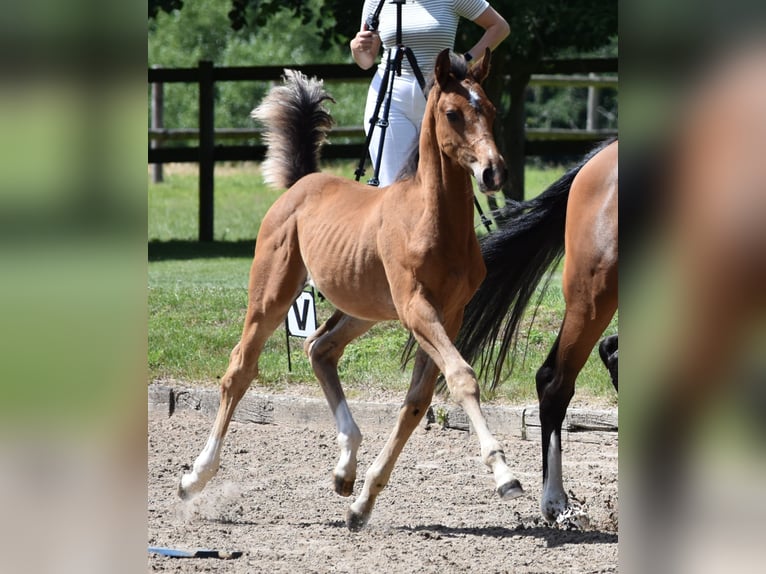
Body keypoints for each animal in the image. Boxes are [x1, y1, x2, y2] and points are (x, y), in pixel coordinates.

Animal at [177, 49, 519, 532]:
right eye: (453, 113)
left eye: (489, 109)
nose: (494, 172)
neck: (431, 221)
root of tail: (301, 184)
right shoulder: (417, 308)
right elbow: (461, 377)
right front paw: (505, 475)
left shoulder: (448, 315)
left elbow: (416, 403)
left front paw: (362, 504)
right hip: (271, 297)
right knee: (239, 370)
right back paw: (194, 479)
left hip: (363, 310)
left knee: (319, 349)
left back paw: (345, 470)